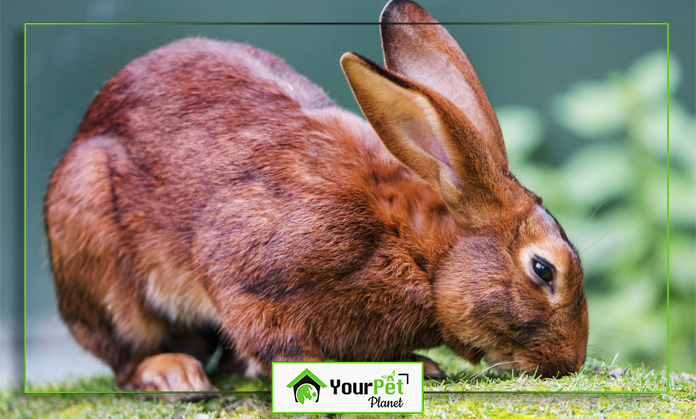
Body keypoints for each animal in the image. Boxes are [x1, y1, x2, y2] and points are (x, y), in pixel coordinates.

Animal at [43, 0, 588, 402]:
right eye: (544, 270)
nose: (571, 362)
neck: (418, 248)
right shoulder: (252, 273)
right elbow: (275, 341)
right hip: (97, 260)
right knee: (126, 355)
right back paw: (174, 374)